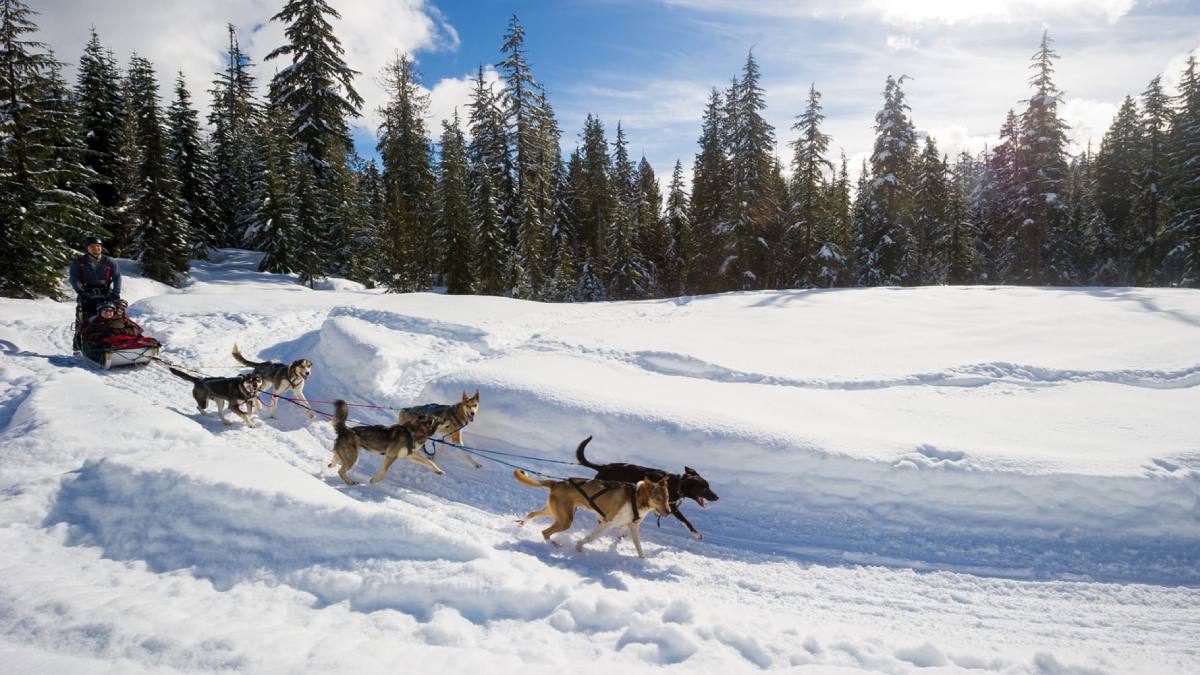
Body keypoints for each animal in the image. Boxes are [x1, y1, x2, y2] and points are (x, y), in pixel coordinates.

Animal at [511, 468, 672, 557]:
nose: (669, 512)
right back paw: (553, 545)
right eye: (658, 499)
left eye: (668, 498)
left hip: (555, 512)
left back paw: (521, 526)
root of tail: (557, 483)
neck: (636, 497)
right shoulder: (606, 523)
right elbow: (590, 537)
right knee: (545, 532)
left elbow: (638, 546)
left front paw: (642, 559)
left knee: (532, 513)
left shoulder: (632, 526)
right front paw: (578, 546)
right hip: (565, 520)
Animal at [573, 432, 715, 538]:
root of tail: (603, 467)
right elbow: (685, 521)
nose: (717, 496)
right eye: (704, 487)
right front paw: (696, 534)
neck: (677, 484)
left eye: (708, 485)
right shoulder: (673, 508)